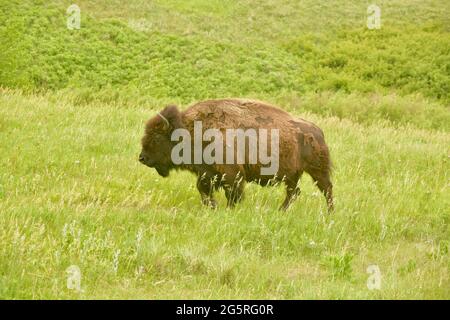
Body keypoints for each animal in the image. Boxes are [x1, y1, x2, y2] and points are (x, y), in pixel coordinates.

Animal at [139, 97, 332, 212]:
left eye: (157, 137)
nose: (142, 158)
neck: (190, 130)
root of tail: (318, 131)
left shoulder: (231, 173)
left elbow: (232, 193)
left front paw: (229, 209)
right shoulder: (207, 172)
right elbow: (203, 189)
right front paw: (212, 207)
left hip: (317, 171)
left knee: (326, 190)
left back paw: (329, 213)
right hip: (292, 175)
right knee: (294, 192)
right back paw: (281, 211)